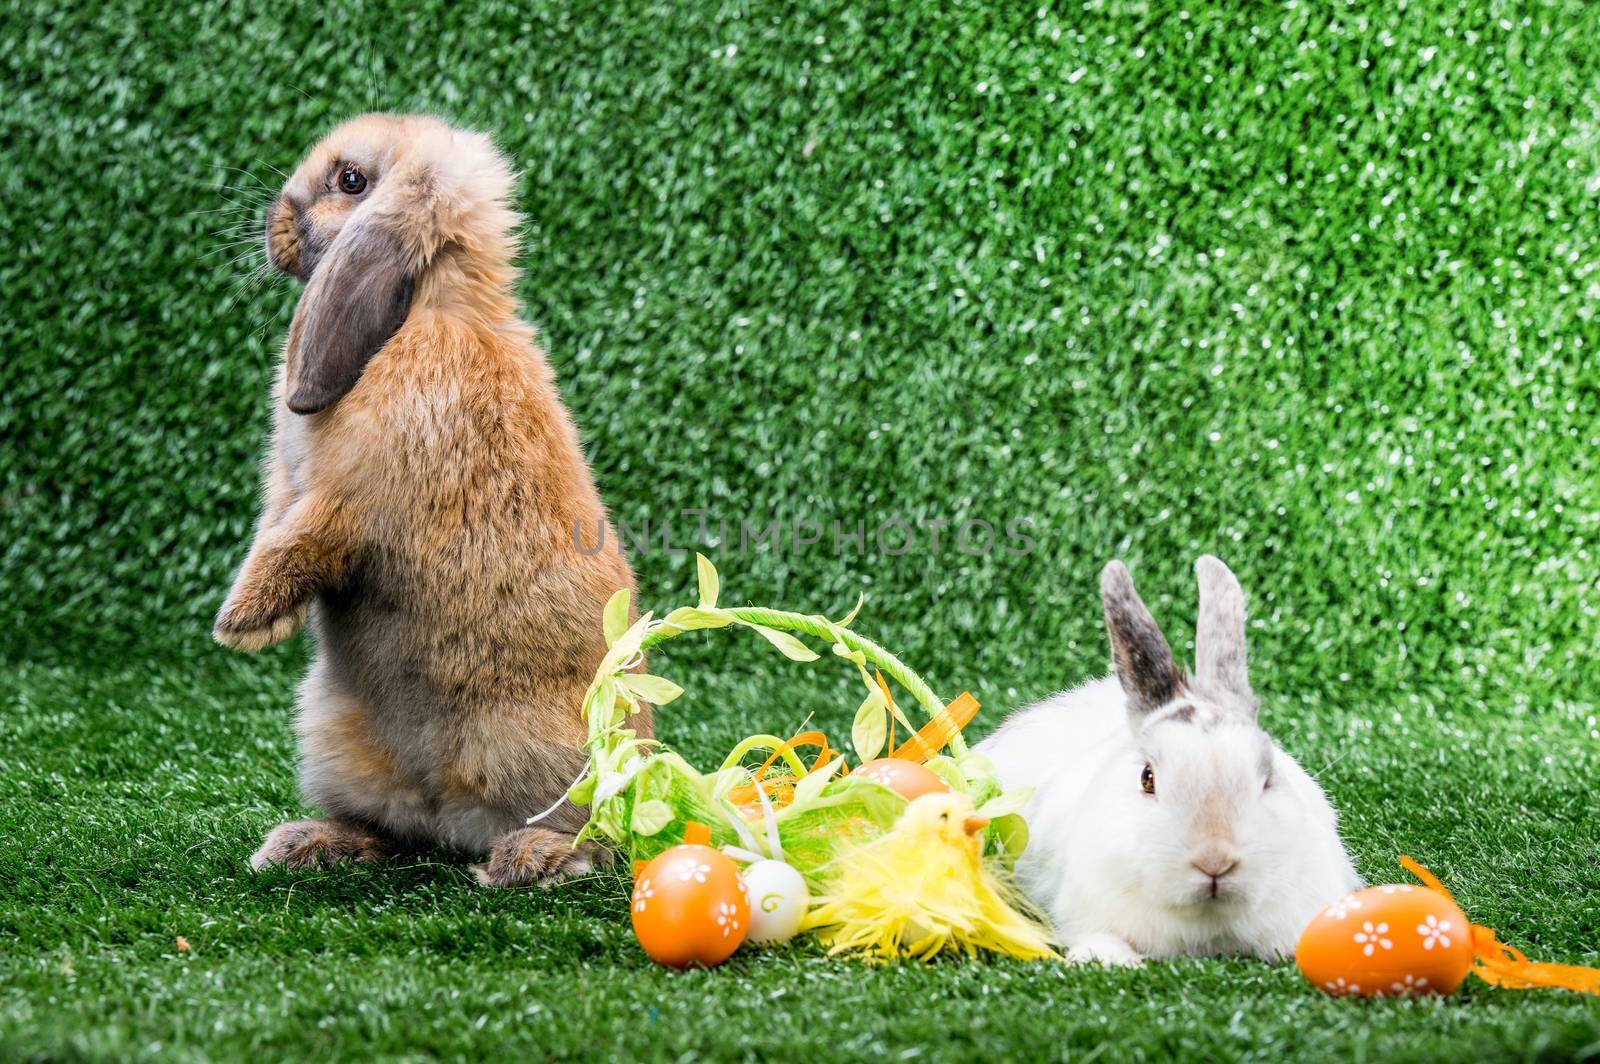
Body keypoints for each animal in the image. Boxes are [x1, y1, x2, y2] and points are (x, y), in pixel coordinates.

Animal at [214, 112, 649, 883]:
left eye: (350, 179)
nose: (272, 223)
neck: (421, 315)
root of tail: (448, 812)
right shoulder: (288, 488)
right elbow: (274, 530)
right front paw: (259, 621)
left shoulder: (344, 502)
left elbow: (299, 545)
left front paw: (239, 623)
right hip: (332, 736)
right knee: (390, 831)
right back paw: (308, 843)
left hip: (551, 759)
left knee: (597, 836)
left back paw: (528, 860)